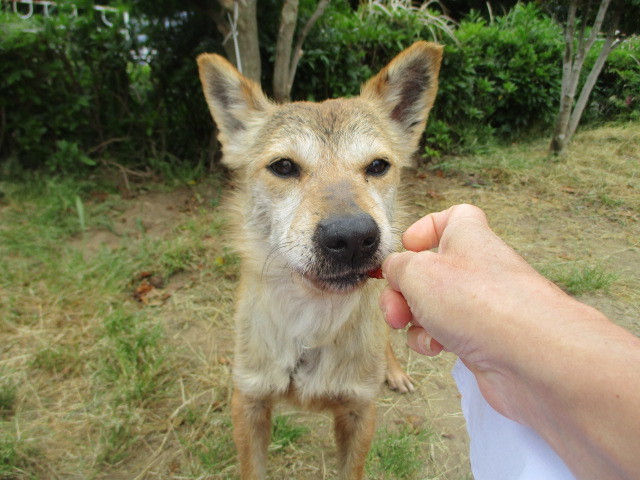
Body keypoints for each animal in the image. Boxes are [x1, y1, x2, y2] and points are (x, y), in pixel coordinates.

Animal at [198, 42, 442, 480]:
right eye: (283, 166)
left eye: (378, 165)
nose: (352, 238)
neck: (309, 325)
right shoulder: (249, 401)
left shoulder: (358, 411)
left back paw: (393, 371)